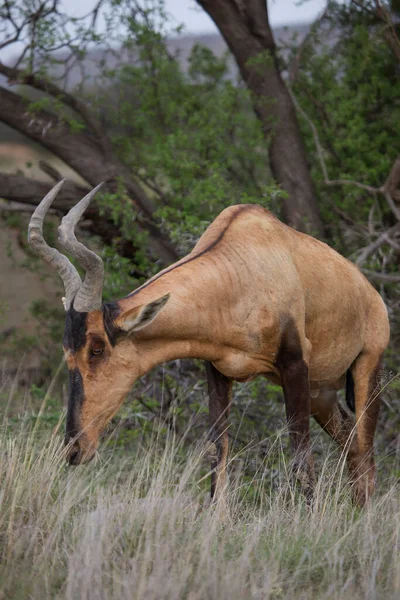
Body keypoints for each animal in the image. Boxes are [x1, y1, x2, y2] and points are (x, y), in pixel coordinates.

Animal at [28, 180, 390, 504]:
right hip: (322, 394)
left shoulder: (295, 366)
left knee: (366, 453)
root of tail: (369, 291)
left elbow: (301, 459)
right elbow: (218, 453)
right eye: (67, 351)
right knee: (352, 445)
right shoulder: (217, 370)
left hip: (366, 368)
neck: (245, 262)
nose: (75, 450)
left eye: (97, 347)